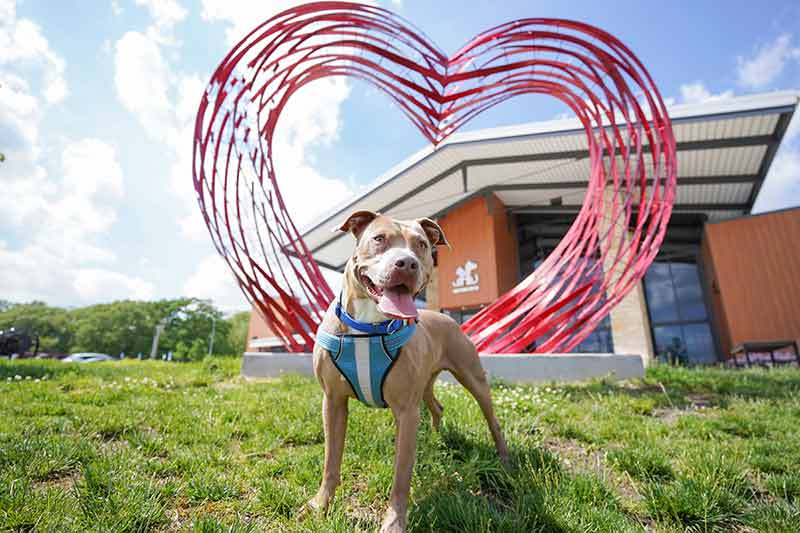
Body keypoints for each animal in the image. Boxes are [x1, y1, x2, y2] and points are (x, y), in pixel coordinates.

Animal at [306, 210, 506, 528]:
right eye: (378, 239)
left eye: (421, 244)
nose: (407, 263)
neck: (369, 328)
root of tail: (441, 316)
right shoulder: (333, 401)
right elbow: (330, 460)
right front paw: (321, 504)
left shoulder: (406, 410)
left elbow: (401, 475)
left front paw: (394, 523)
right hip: (425, 384)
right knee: (436, 406)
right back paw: (435, 440)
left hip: (472, 378)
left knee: (492, 419)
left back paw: (504, 459)